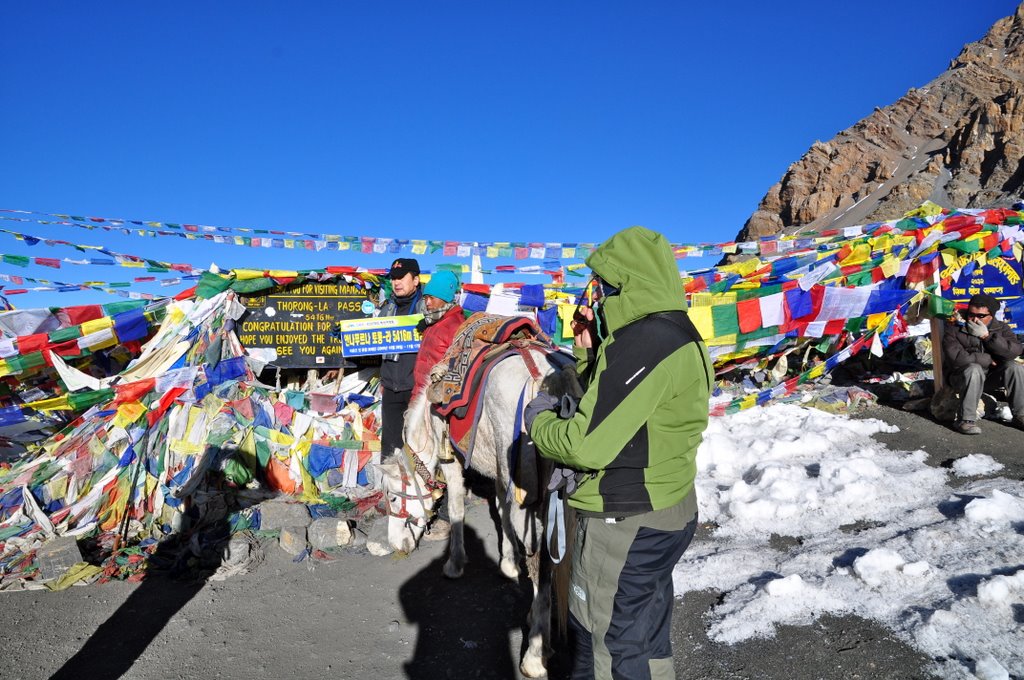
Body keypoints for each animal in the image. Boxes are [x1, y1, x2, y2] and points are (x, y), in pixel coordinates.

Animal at [376, 348, 577, 675]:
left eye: (393, 498)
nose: (396, 544)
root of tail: (551, 380)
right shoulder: (499, 470)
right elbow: (500, 507)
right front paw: (508, 562)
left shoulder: (451, 459)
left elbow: (457, 505)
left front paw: (454, 563)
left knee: (541, 564)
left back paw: (535, 654)